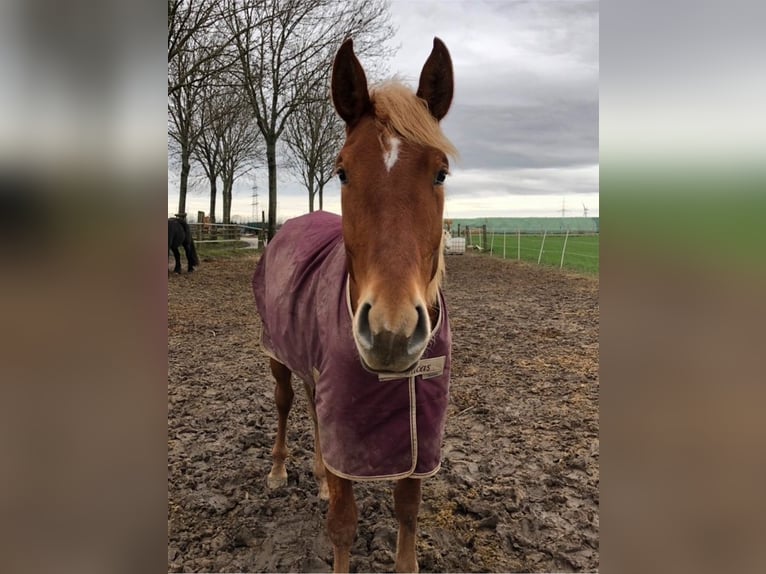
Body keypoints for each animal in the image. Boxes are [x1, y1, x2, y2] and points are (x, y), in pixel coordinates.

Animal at [252, 38, 460, 572]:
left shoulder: (417, 438)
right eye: (342, 171)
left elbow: (407, 514)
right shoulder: (348, 425)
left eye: (440, 172)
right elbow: (343, 527)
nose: (391, 333)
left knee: (310, 405)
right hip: (276, 353)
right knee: (284, 402)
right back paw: (279, 472)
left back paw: (320, 475)